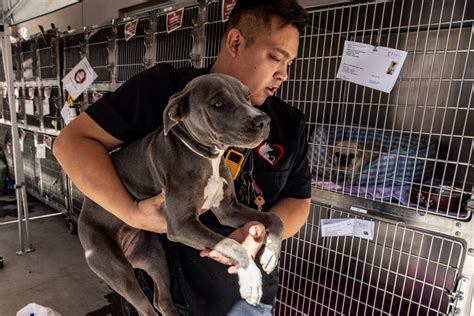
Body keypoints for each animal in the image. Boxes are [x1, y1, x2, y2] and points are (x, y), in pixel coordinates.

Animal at [78, 74, 284, 316]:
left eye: (248, 97)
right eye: (218, 104)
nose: (264, 121)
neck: (208, 157)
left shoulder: (228, 210)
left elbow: (274, 218)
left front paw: (271, 253)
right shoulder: (181, 225)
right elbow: (230, 244)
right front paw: (251, 279)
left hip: (154, 256)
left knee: (161, 300)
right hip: (118, 271)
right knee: (146, 308)